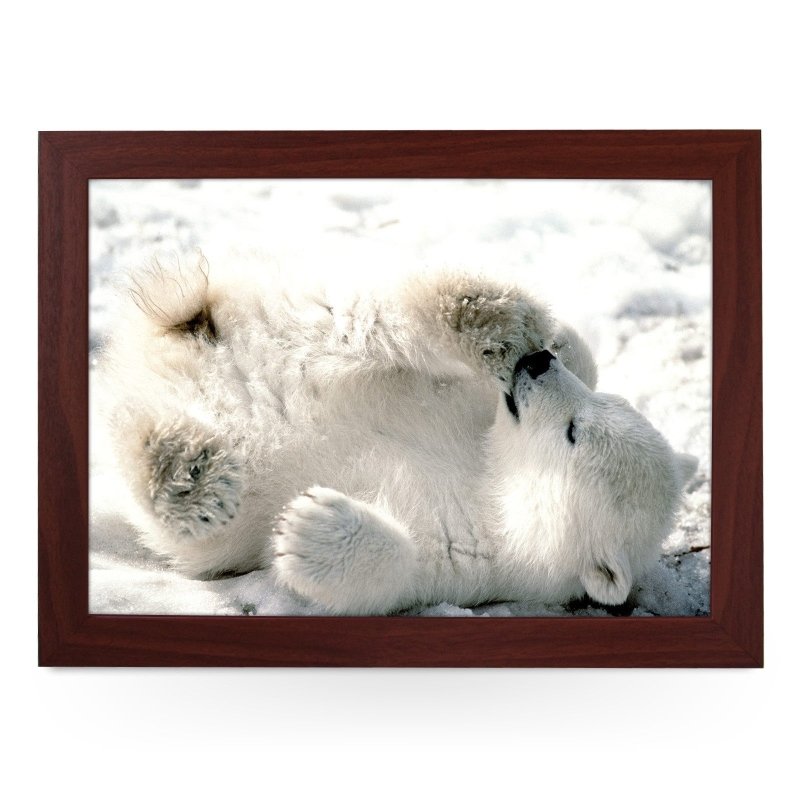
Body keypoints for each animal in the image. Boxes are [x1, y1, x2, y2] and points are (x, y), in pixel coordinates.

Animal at [96, 253, 698, 614]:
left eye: (574, 432)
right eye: (604, 405)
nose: (536, 365)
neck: (491, 475)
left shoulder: (479, 559)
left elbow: (394, 573)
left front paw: (308, 527)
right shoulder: (472, 408)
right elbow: (576, 358)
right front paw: (550, 340)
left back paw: (188, 475)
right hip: (301, 329)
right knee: (370, 324)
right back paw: (488, 317)